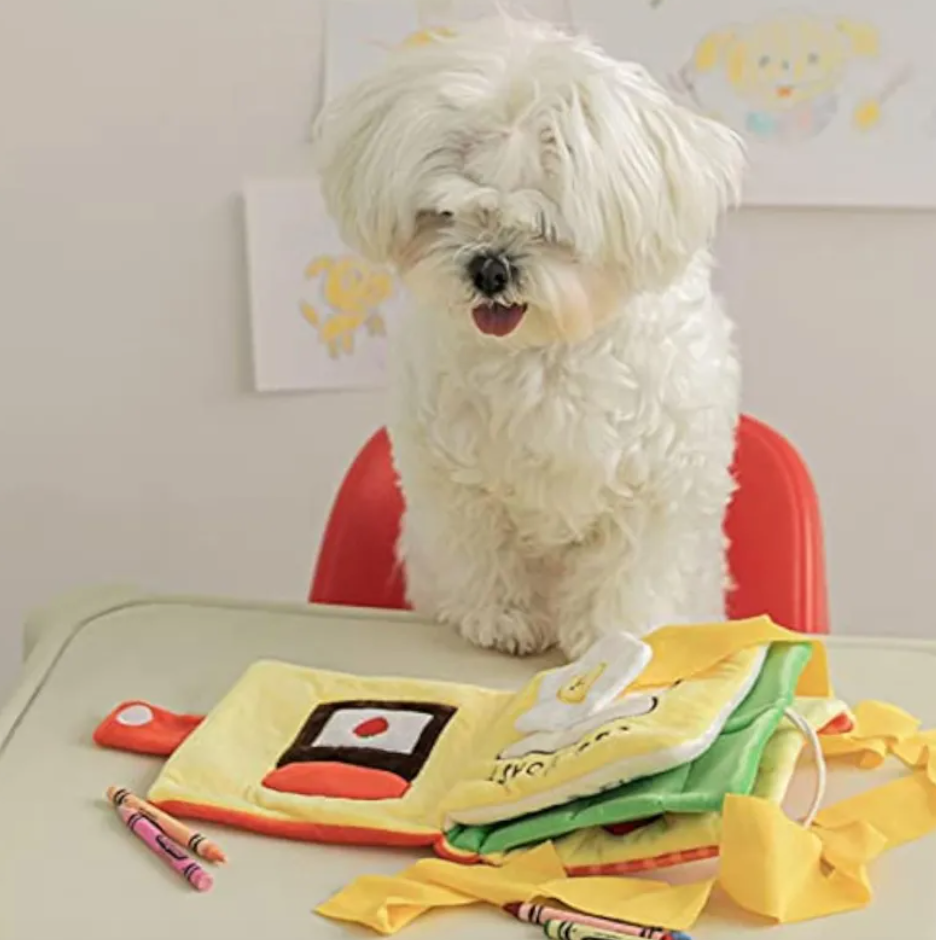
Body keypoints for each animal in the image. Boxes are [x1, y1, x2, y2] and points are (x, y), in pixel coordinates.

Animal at [314, 16, 744, 660]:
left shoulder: (655, 488)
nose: (489, 269)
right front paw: (503, 620)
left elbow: (629, 568)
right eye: (445, 213)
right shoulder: (457, 482)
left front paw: (610, 635)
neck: (543, 351)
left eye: (548, 226)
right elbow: (483, 549)